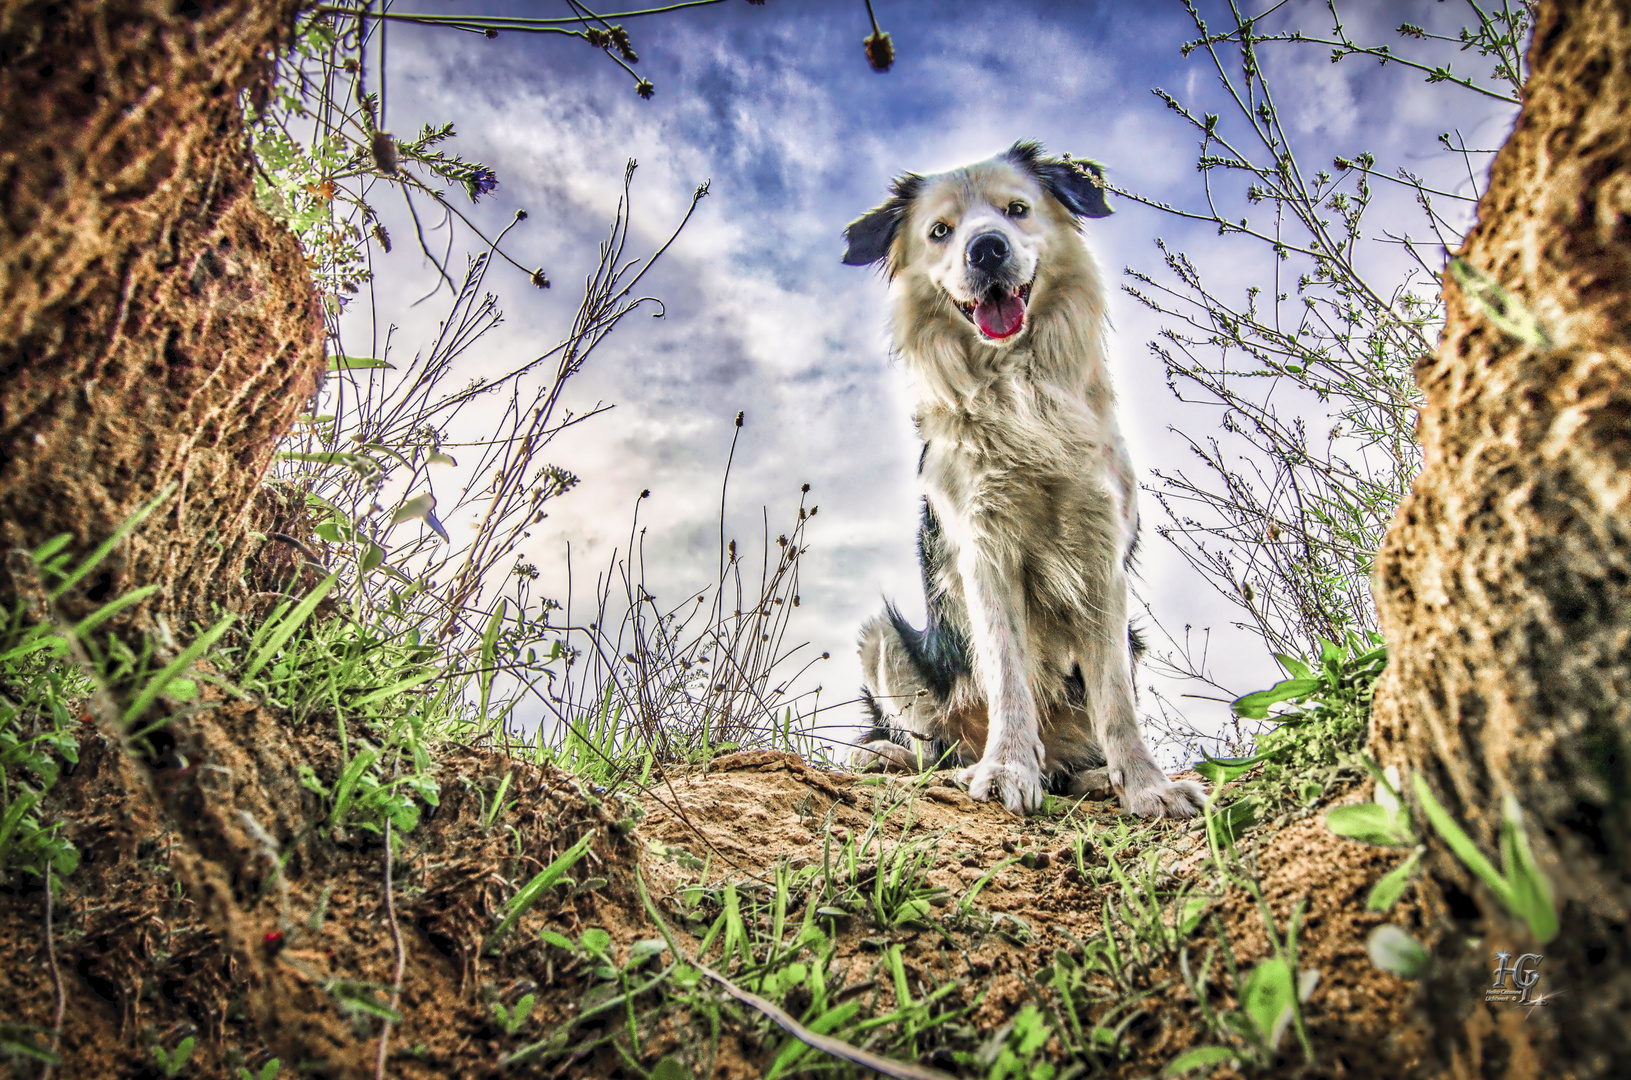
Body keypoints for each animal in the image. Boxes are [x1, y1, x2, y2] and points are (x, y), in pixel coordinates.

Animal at [848, 143, 1206, 822]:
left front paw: (1148, 786)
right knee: (935, 746)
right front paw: (1008, 770)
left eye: (1017, 210)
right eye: (941, 231)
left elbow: (1115, 701)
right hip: (883, 637)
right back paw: (897, 756)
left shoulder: (1101, 556)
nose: (986, 248)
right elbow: (1009, 674)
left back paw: (1094, 776)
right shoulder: (984, 551)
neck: (1019, 385)